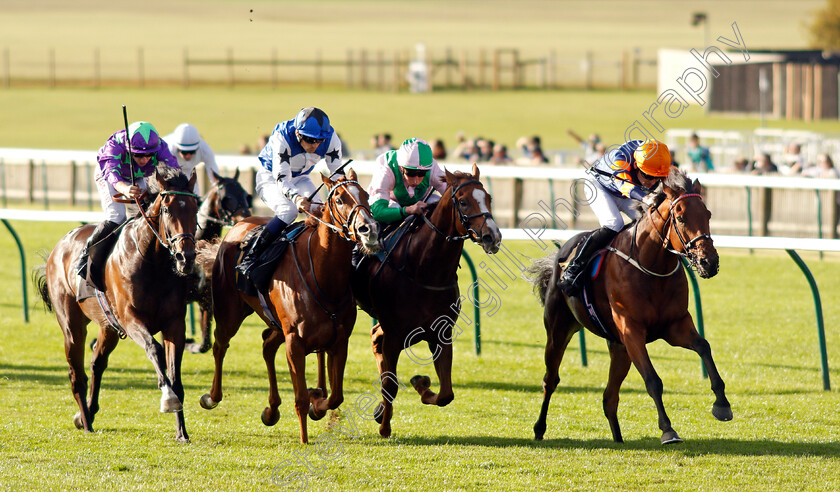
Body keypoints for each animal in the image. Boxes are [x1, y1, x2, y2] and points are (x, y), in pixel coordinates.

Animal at [37, 166, 200, 442]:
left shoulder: (175, 323)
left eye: (195, 207)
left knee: (97, 363)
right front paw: (168, 398)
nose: (185, 257)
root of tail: (59, 246)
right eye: (167, 209)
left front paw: (182, 433)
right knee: (76, 373)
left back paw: (87, 414)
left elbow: (175, 375)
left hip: (108, 327)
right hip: (72, 324)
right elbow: (154, 349)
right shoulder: (131, 318)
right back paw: (86, 422)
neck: (152, 261)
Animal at [189, 169, 254, 354]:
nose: (245, 218)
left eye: (246, 195)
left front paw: (193, 344)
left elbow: (205, 343)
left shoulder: (207, 299)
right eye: (226, 197)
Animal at [200, 168, 378, 442]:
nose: (369, 230)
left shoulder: (339, 340)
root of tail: (237, 226)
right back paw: (212, 397)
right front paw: (305, 438)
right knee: (220, 346)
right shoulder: (295, 341)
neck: (323, 276)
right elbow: (301, 398)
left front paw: (318, 405)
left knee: (266, 345)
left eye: (366, 195)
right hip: (229, 312)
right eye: (338, 199)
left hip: (275, 324)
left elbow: (336, 397)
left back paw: (271, 410)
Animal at [352, 163, 502, 436]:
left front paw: (420, 384)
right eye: (463, 202)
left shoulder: (441, 333)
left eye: (488, 198)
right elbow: (390, 384)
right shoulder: (396, 333)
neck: (425, 269)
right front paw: (385, 427)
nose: (492, 236)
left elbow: (446, 393)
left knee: (376, 339)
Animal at [528, 166, 732, 446]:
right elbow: (653, 380)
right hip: (559, 330)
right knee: (551, 380)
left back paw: (618, 438)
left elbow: (704, 347)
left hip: (618, 348)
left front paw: (722, 404)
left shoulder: (675, 325)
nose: (708, 262)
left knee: (609, 397)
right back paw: (539, 428)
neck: (651, 265)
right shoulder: (632, 330)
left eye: (708, 214)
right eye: (680, 218)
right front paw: (668, 430)